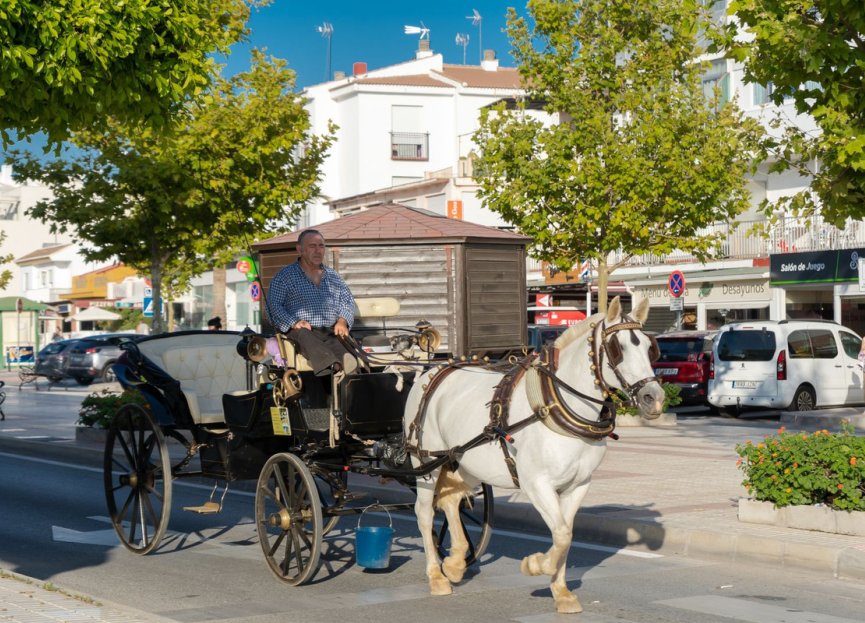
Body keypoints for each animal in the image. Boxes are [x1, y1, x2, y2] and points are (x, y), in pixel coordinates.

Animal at [404, 298, 660, 616]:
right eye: (618, 348)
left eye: (649, 347)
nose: (654, 398)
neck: (557, 404)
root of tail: (432, 370)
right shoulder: (536, 483)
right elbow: (561, 535)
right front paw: (536, 565)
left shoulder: (578, 485)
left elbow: (566, 534)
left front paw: (561, 592)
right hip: (425, 462)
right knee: (425, 512)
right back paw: (436, 576)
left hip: (464, 459)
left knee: (452, 500)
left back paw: (454, 562)